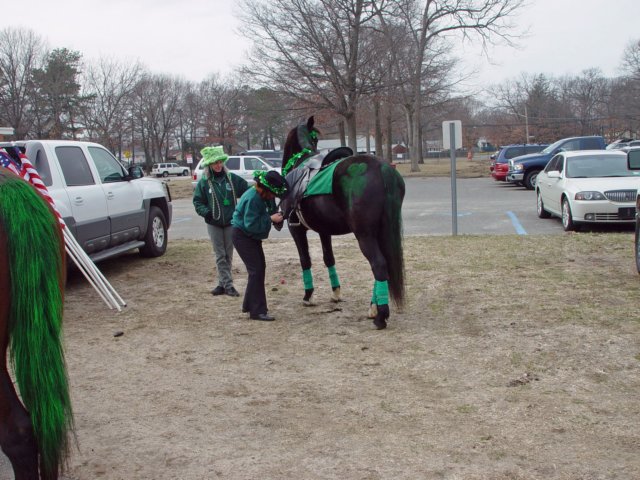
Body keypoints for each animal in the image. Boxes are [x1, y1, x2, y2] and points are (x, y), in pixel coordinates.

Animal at [280, 115, 404, 330]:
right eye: (316, 138)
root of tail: (382, 168)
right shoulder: (324, 231)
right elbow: (329, 258)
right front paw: (336, 292)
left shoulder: (297, 230)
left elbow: (305, 260)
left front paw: (308, 295)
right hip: (380, 232)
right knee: (384, 264)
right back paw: (373, 307)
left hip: (364, 235)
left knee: (378, 264)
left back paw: (381, 315)